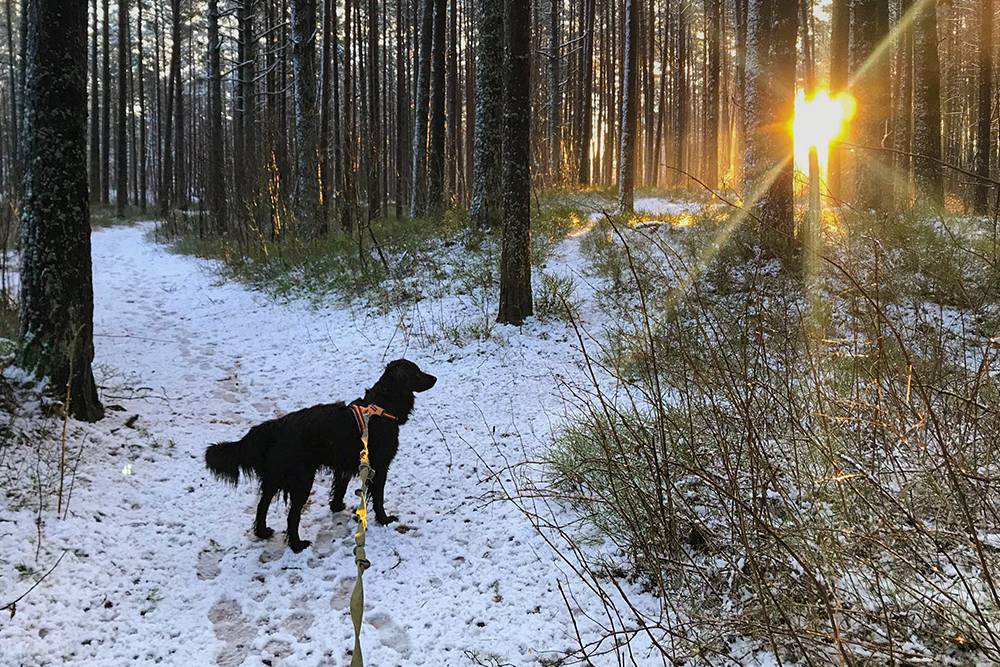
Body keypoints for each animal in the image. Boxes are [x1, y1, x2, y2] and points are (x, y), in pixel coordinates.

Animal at [205, 360, 436, 552]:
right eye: (417, 372)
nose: (435, 378)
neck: (381, 406)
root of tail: (275, 427)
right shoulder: (379, 466)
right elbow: (378, 498)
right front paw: (384, 519)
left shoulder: (345, 464)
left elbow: (340, 488)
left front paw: (338, 507)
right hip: (301, 480)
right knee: (292, 516)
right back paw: (297, 545)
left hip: (275, 477)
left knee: (262, 506)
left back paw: (263, 532)